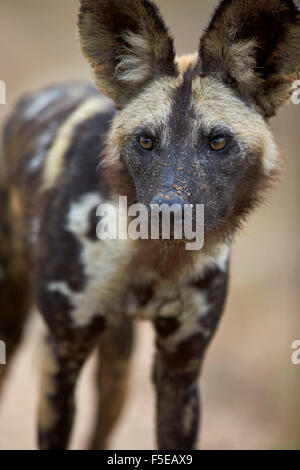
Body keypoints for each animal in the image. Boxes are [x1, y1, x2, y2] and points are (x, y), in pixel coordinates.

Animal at [0, 0, 300, 450]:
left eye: (217, 142)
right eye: (145, 141)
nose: (168, 213)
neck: (153, 260)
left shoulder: (180, 369)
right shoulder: (61, 358)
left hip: (118, 373)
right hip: (12, 332)